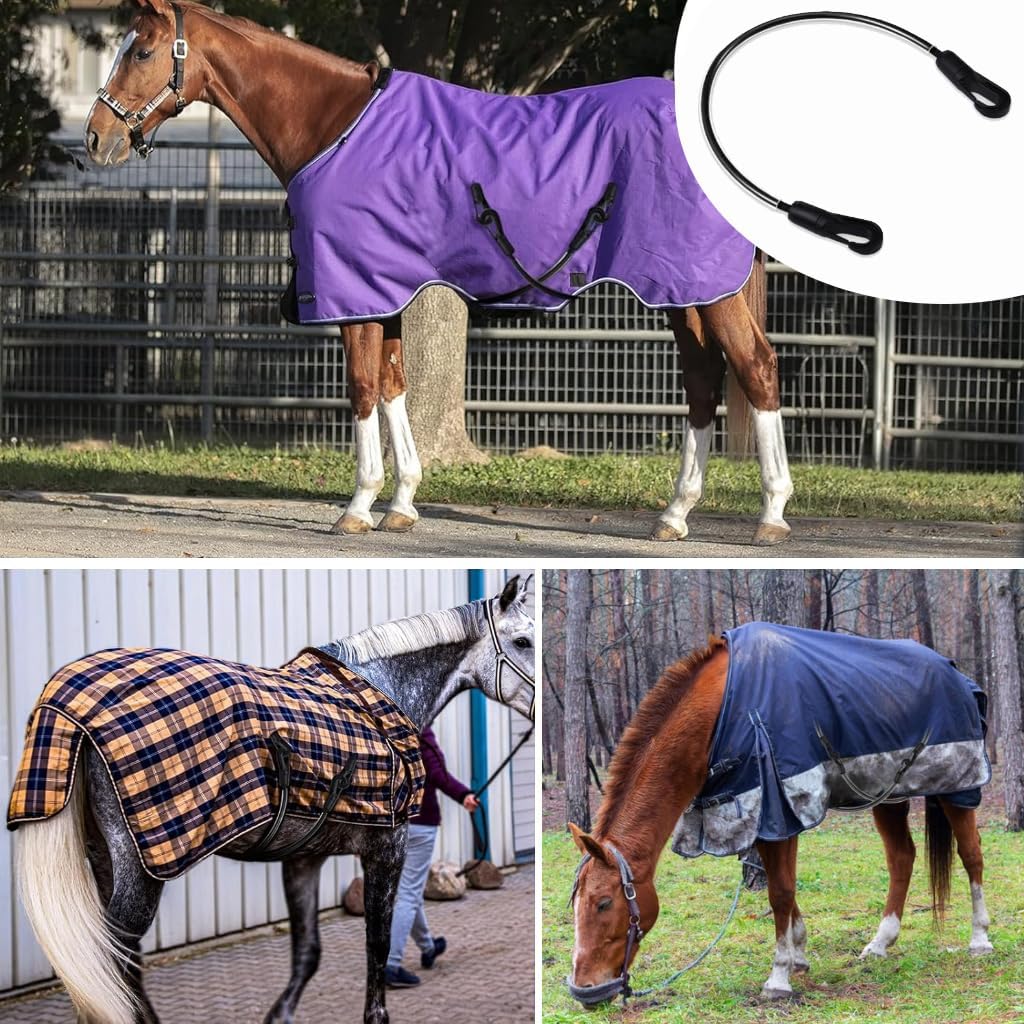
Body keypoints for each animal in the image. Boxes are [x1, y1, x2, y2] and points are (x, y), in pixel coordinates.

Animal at [10, 575, 534, 1024]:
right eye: (523, 642)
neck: (380, 692)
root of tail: (68, 702)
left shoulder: (303, 859)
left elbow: (308, 952)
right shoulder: (387, 851)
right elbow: (377, 948)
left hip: (103, 856)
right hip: (142, 866)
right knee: (113, 958)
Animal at [82, 0, 794, 547]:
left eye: (142, 52)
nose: (94, 138)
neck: (336, 126)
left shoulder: (355, 294)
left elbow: (363, 388)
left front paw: (356, 508)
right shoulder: (384, 292)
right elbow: (394, 386)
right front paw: (401, 505)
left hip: (706, 289)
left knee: (755, 367)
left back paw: (771, 514)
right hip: (685, 289)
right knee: (703, 380)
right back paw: (674, 515)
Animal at [566, 622, 993, 1006]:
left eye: (604, 903)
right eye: (575, 904)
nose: (586, 991)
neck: (726, 709)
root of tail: (956, 673)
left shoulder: (780, 811)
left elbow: (781, 893)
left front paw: (779, 977)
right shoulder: (763, 819)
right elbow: (781, 887)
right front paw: (798, 955)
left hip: (958, 785)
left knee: (971, 854)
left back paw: (980, 939)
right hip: (887, 794)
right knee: (902, 858)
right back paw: (880, 943)